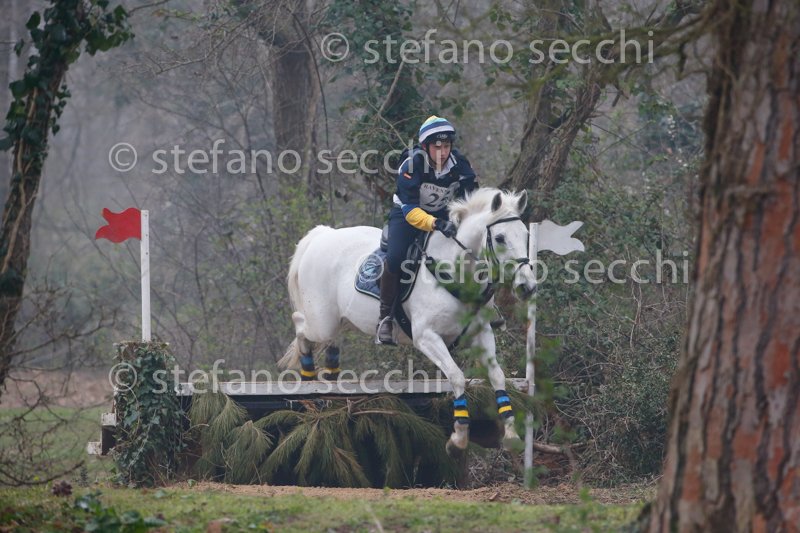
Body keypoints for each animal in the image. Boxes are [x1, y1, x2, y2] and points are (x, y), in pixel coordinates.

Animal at [278, 188, 536, 453]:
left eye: (526, 235)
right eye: (500, 238)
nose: (527, 287)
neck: (456, 271)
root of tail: (321, 235)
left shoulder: (482, 332)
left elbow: (497, 376)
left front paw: (511, 433)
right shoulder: (427, 337)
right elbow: (456, 376)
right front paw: (458, 437)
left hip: (341, 320)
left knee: (330, 339)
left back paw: (330, 374)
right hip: (322, 321)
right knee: (300, 324)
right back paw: (308, 373)